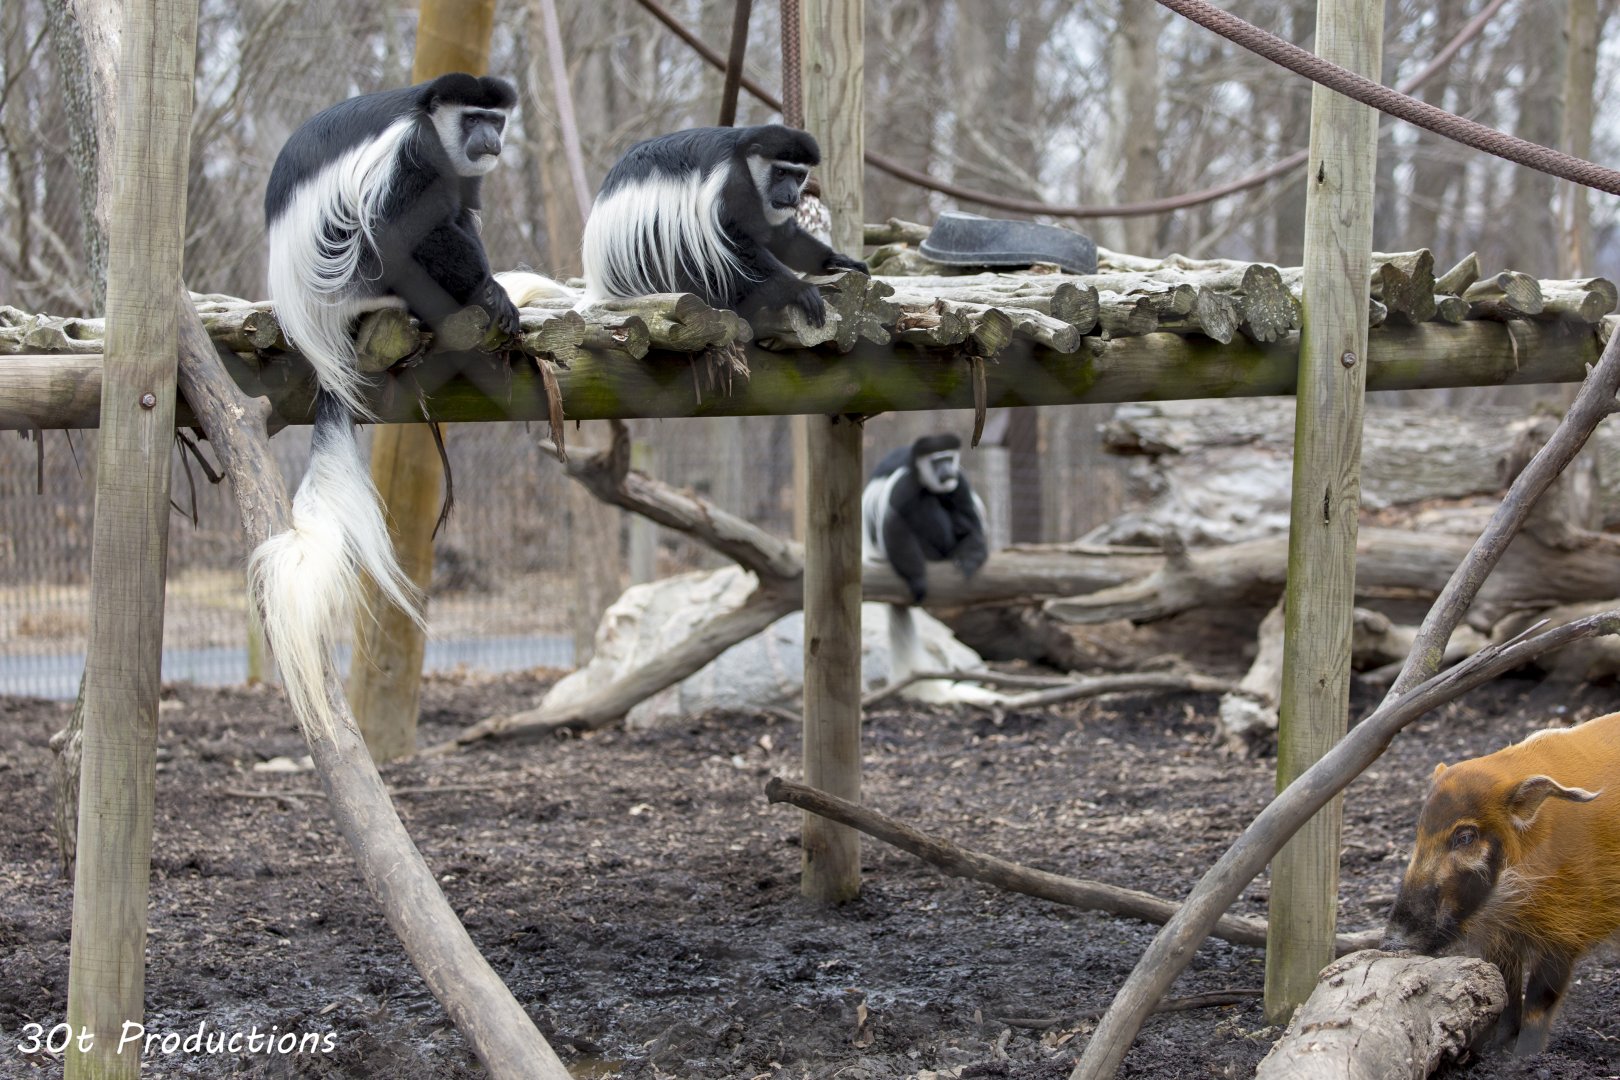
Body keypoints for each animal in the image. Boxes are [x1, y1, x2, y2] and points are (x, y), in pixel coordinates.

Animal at [251, 73, 519, 737]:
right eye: (473, 117)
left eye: (496, 119)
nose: (489, 141)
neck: (434, 119)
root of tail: (317, 335)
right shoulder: (412, 149)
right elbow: (411, 221)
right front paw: (492, 293)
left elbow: (462, 209)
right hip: (353, 272)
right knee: (391, 233)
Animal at [580, 124, 868, 326]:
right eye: (780, 172)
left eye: (799, 176)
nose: (790, 196)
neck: (744, 158)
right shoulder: (730, 183)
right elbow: (734, 242)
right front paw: (798, 290)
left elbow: (781, 236)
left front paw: (838, 260)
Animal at [861, 434, 990, 691]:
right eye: (936, 461)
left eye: (948, 458)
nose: (947, 470)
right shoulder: (904, 484)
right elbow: (895, 519)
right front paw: (918, 581)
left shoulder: (960, 483)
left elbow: (971, 521)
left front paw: (968, 561)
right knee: (923, 504)